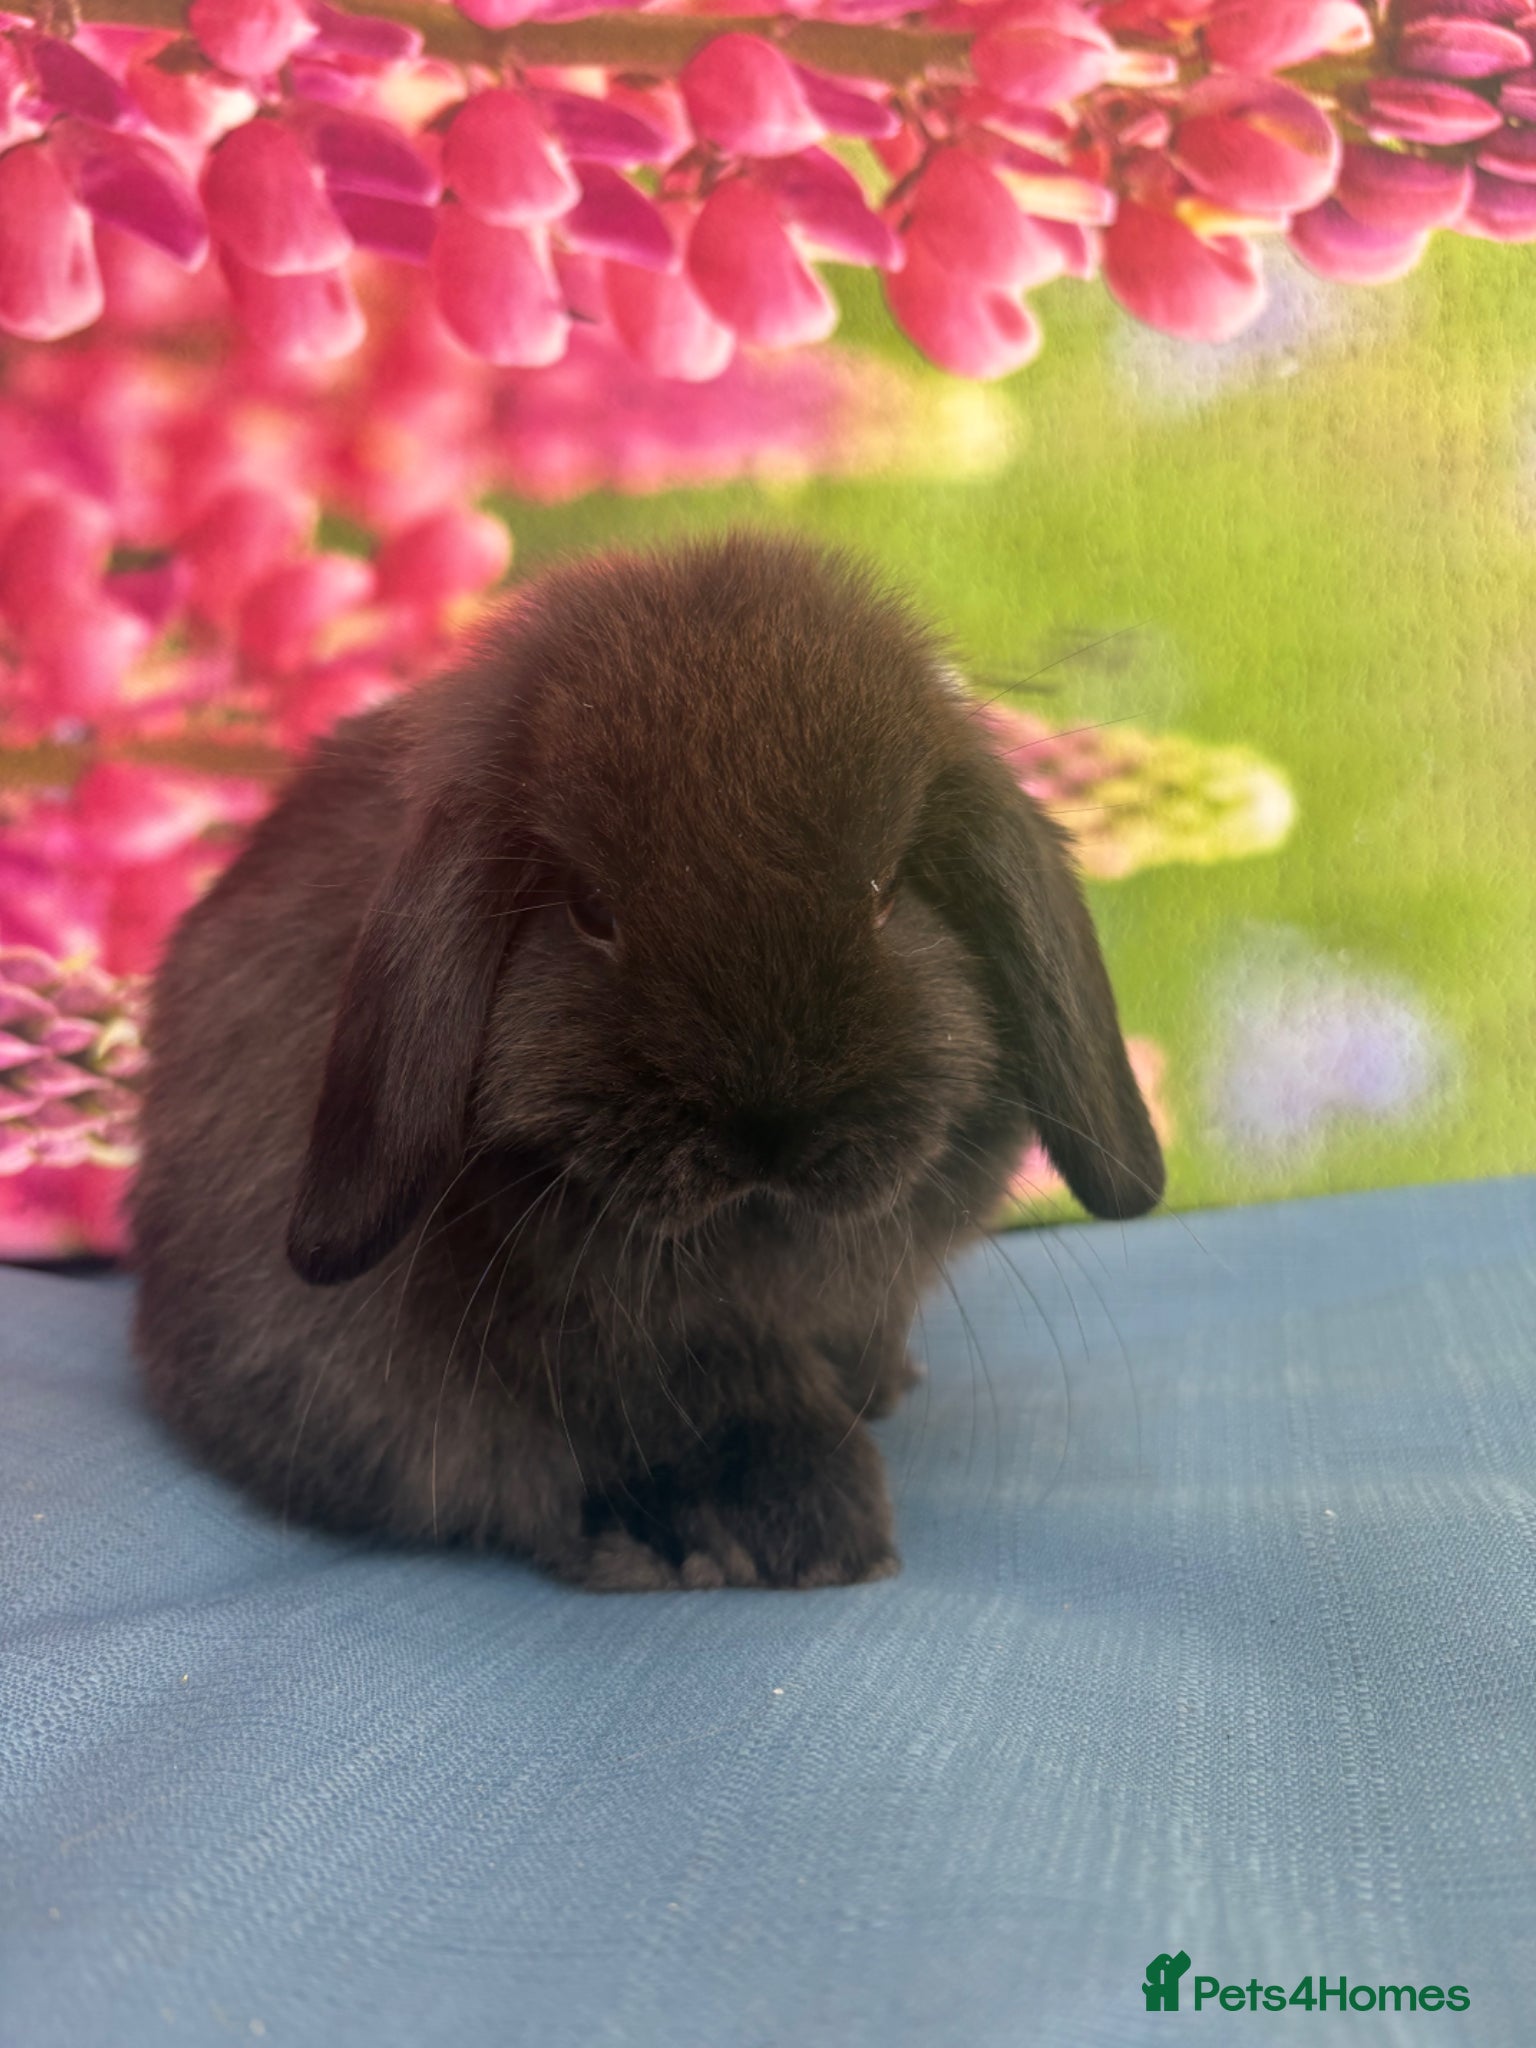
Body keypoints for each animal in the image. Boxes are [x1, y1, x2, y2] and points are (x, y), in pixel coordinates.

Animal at [129, 532, 1164, 1591]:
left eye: (884, 891)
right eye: (590, 909)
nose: (769, 1127)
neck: (759, 1236)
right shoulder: (629, 1338)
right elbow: (720, 1411)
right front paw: (814, 1542)